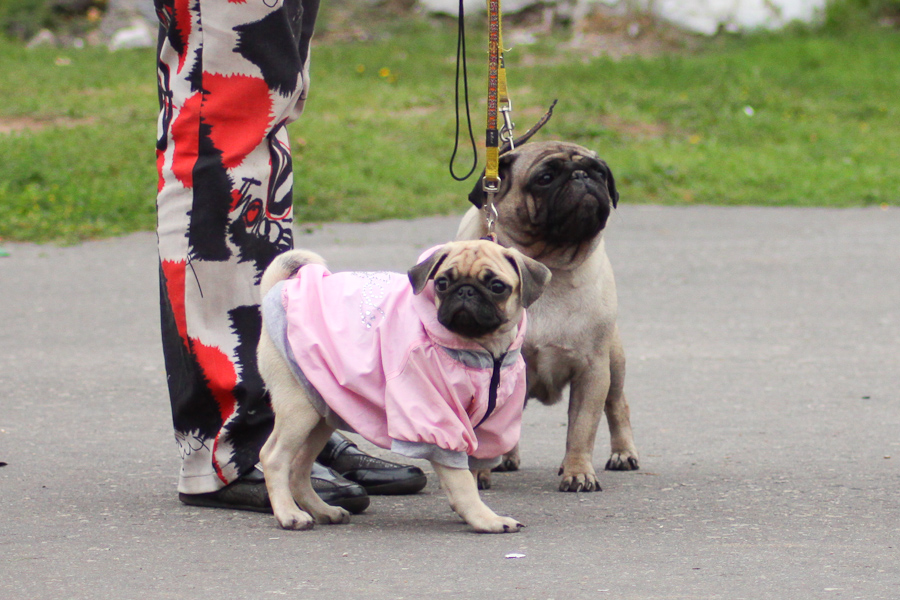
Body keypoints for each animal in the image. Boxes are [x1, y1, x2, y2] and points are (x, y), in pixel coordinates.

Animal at [257, 240, 550, 532]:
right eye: (442, 283)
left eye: (497, 286)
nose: (465, 291)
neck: (485, 349)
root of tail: (279, 288)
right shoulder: (439, 421)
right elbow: (462, 480)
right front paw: (484, 518)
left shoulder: (488, 427)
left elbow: (470, 471)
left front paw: (469, 511)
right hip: (299, 410)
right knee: (274, 457)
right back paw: (289, 514)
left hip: (322, 409)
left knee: (298, 467)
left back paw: (323, 510)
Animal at [457, 140, 639, 492]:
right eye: (545, 177)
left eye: (599, 172)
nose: (582, 175)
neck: (546, 266)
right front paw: (478, 475)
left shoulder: (592, 371)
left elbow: (582, 429)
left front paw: (578, 472)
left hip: (613, 362)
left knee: (617, 405)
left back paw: (623, 453)